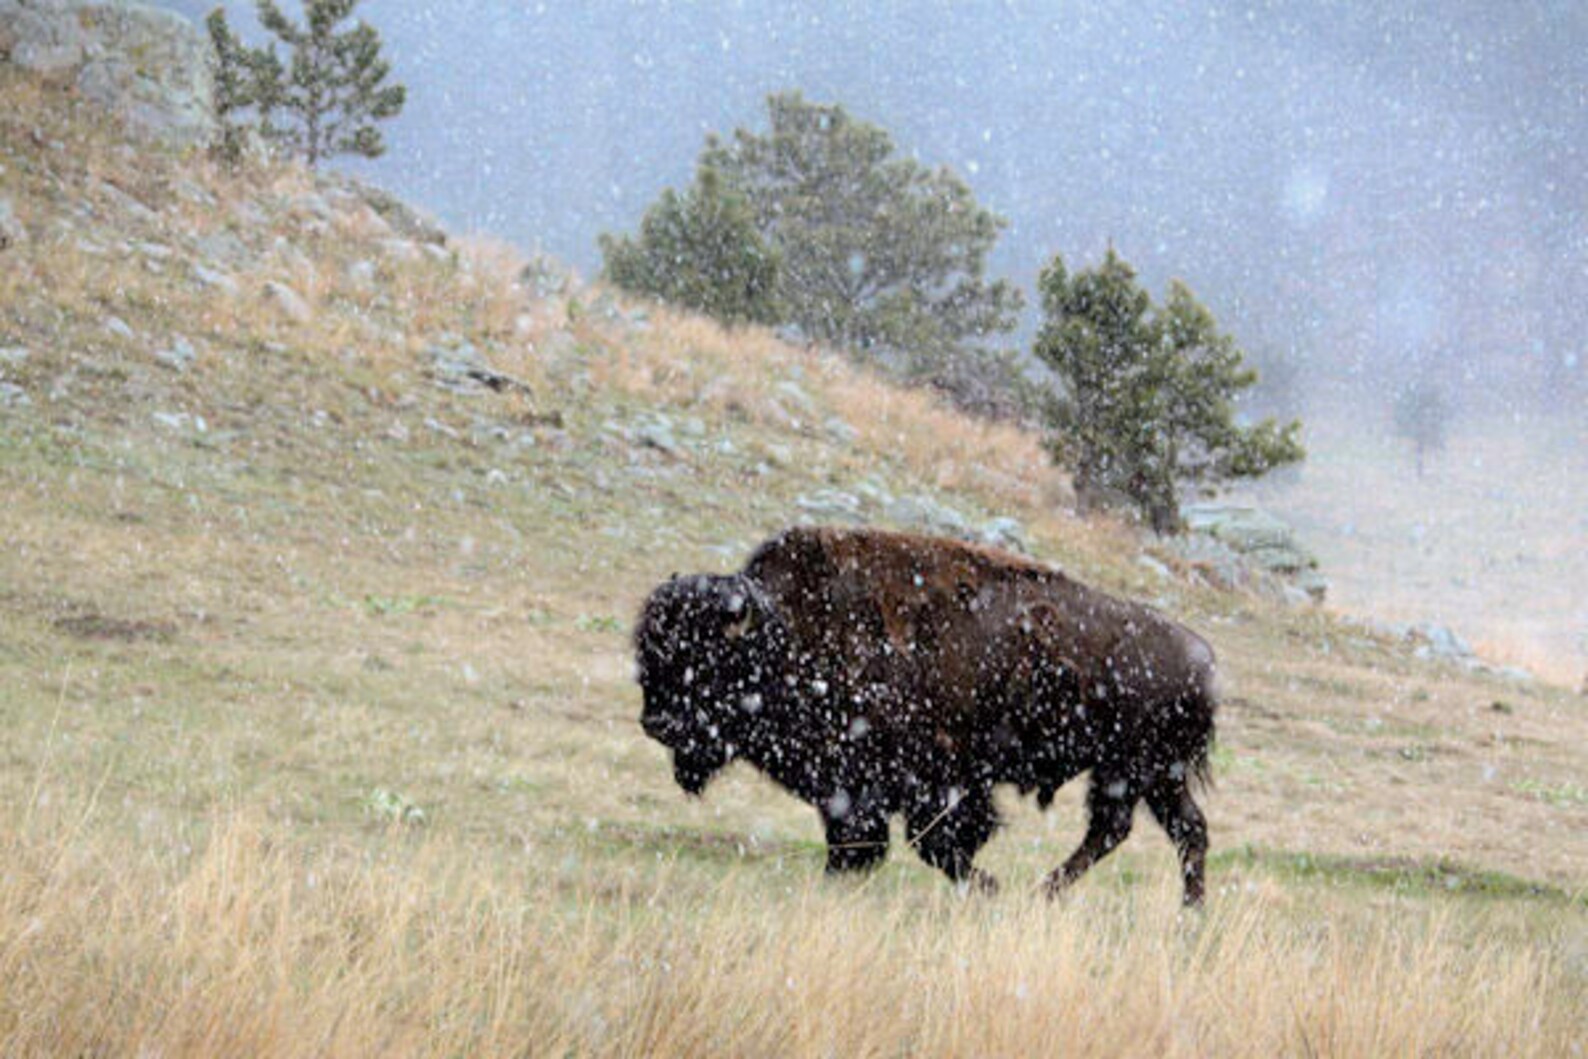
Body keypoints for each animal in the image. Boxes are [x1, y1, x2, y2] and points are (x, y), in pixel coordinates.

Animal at [633, 526, 1218, 904]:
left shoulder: (925, 782)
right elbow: (868, 840)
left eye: (708, 660)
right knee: (1175, 829)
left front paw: (988, 888)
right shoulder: (852, 787)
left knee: (1123, 828)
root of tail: (1203, 658)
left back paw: (1047, 891)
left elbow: (930, 841)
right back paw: (1181, 911)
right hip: (1150, 775)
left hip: (1134, 769)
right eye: (649, 654)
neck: (785, 633)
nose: (657, 724)